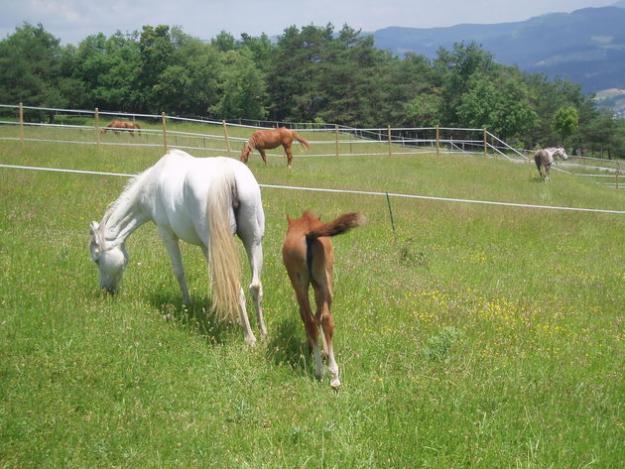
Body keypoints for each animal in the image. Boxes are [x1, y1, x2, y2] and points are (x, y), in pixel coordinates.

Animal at [88, 148, 266, 346]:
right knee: (255, 286)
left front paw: (188, 304)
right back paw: (262, 332)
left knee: (238, 288)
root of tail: (229, 174)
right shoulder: (206, 248)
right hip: (253, 241)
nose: (106, 290)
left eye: (97, 260)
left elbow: (179, 272)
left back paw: (249, 338)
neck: (151, 185)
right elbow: (217, 281)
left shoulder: (167, 235)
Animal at [280, 210, 364, 386]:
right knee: (326, 318)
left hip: (299, 283)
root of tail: (310, 234)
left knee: (310, 320)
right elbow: (320, 314)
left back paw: (319, 370)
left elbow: (307, 316)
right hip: (325, 280)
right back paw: (334, 376)